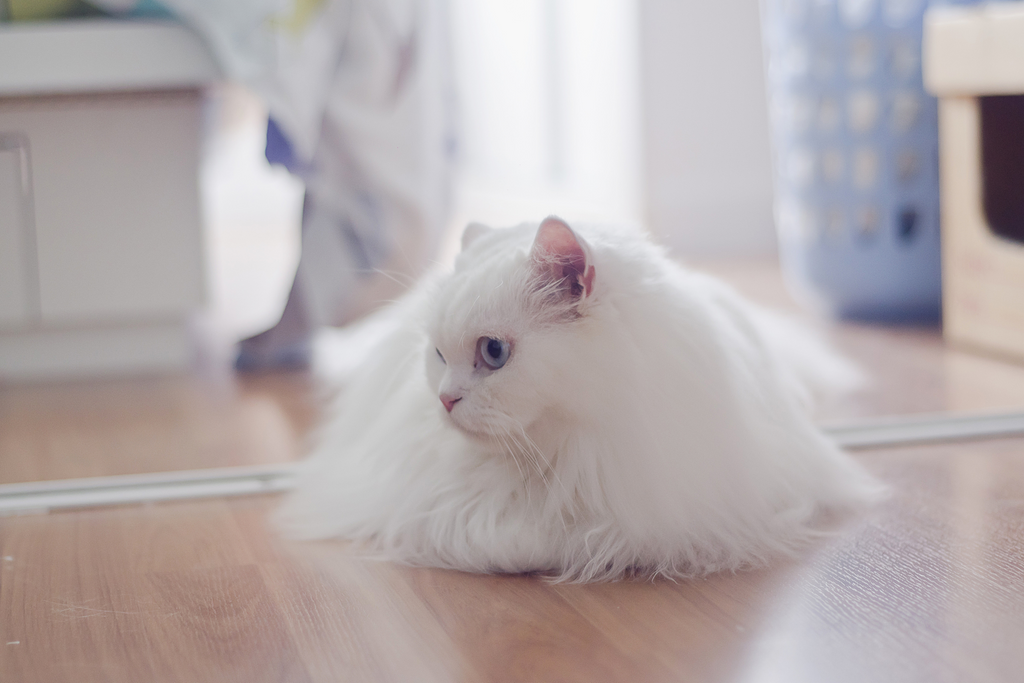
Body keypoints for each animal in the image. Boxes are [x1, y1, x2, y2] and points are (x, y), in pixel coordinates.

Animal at [278, 216, 880, 581]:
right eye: (439, 356)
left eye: (493, 352)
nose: (445, 401)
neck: (565, 452)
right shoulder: (436, 505)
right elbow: (510, 542)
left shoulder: (656, 515)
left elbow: (595, 540)